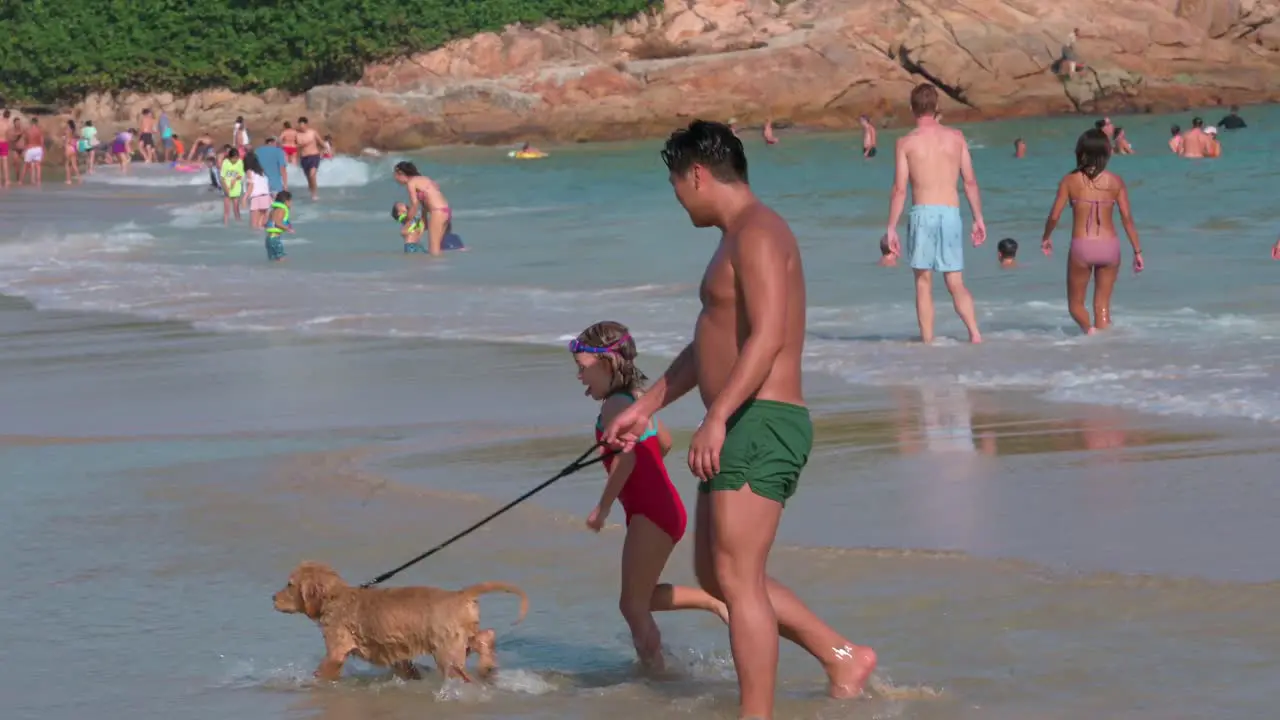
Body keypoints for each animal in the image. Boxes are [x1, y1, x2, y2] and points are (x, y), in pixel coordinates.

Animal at [272, 561, 527, 676]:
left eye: (290, 584)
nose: (272, 597)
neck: (336, 597)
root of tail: (460, 594)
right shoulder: (397, 654)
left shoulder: (336, 651)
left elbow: (324, 671)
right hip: (462, 636)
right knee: (486, 636)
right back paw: (487, 665)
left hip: (448, 651)